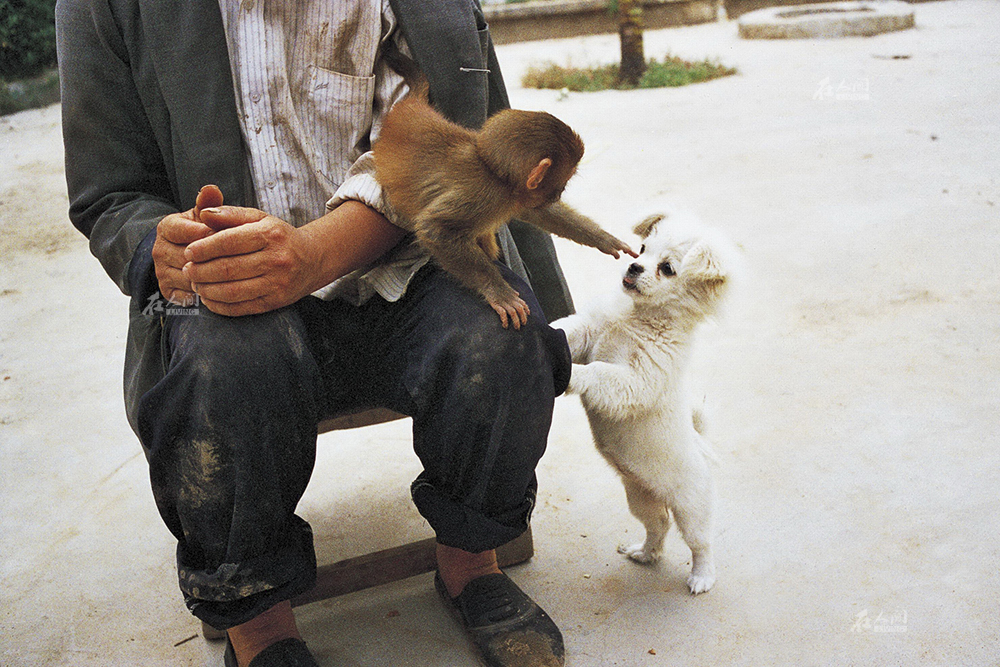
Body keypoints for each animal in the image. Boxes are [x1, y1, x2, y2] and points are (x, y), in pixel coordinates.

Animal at [372, 44, 636, 328]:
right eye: (563, 182)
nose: (559, 193)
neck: (496, 174)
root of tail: (408, 109)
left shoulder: (516, 197)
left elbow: (539, 212)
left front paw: (603, 238)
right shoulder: (487, 196)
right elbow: (435, 229)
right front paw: (498, 291)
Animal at [556, 210, 736, 596]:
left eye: (666, 268)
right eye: (641, 250)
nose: (634, 266)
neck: (635, 316)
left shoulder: (635, 381)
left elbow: (597, 371)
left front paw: (572, 375)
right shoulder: (588, 333)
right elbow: (565, 330)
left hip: (691, 508)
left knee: (700, 543)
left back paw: (702, 577)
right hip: (640, 498)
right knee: (659, 527)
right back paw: (644, 552)